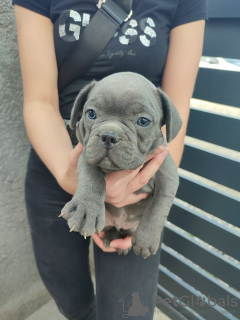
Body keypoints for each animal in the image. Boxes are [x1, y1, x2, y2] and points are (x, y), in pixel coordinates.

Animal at [60, 72, 182, 258]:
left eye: (143, 121)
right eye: (91, 114)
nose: (108, 136)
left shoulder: (168, 175)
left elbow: (159, 205)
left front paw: (146, 239)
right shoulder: (87, 153)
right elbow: (91, 176)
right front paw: (86, 209)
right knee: (111, 228)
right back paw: (111, 238)